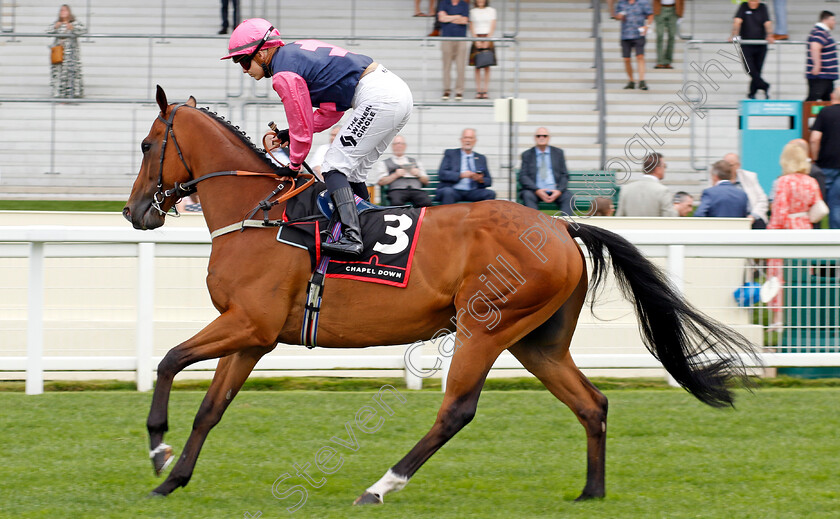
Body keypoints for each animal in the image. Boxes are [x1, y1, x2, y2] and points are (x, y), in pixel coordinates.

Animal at [123, 87, 756, 506]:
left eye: (149, 144)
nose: (133, 212)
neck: (258, 215)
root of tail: (560, 228)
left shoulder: (248, 323)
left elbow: (169, 360)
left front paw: (156, 448)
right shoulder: (253, 335)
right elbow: (211, 407)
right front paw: (173, 478)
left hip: (486, 327)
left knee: (457, 409)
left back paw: (380, 486)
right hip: (538, 342)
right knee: (591, 404)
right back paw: (590, 492)